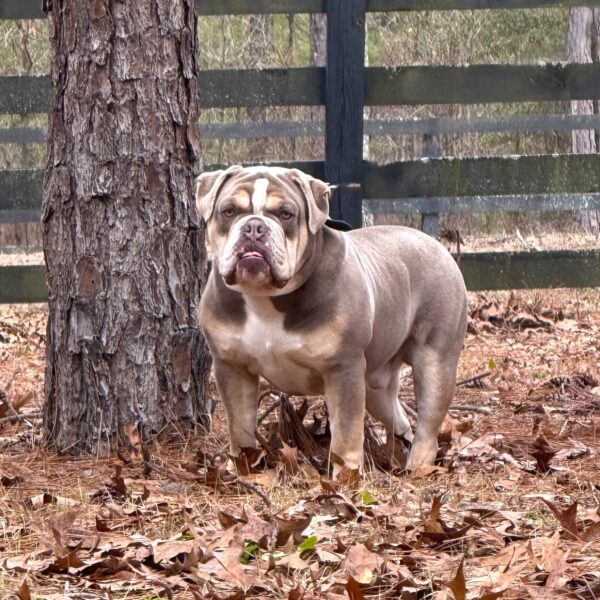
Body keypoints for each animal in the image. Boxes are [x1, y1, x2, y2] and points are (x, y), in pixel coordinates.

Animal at [197, 164, 468, 474]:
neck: (264, 296)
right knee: (397, 417)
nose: (254, 226)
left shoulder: (343, 369)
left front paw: (345, 477)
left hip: (434, 359)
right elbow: (240, 425)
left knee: (429, 420)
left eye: (286, 214)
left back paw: (418, 464)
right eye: (229, 211)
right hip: (374, 386)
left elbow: (346, 434)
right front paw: (243, 467)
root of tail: (435, 244)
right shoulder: (232, 367)